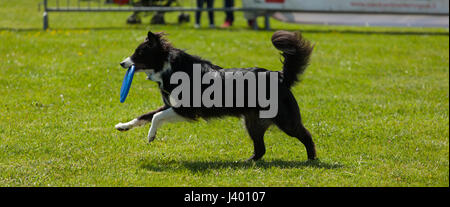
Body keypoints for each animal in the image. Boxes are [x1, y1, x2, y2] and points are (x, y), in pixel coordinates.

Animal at [114, 29, 314, 161]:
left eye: (139, 53)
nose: (122, 63)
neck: (168, 66)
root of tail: (279, 76)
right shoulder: (170, 105)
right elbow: (145, 115)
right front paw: (123, 126)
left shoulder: (187, 110)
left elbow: (156, 117)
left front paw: (151, 135)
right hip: (253, 122)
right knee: (261, 148)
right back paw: (247, 162)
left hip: (285, 120)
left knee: (305, 135)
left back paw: (311, 159)